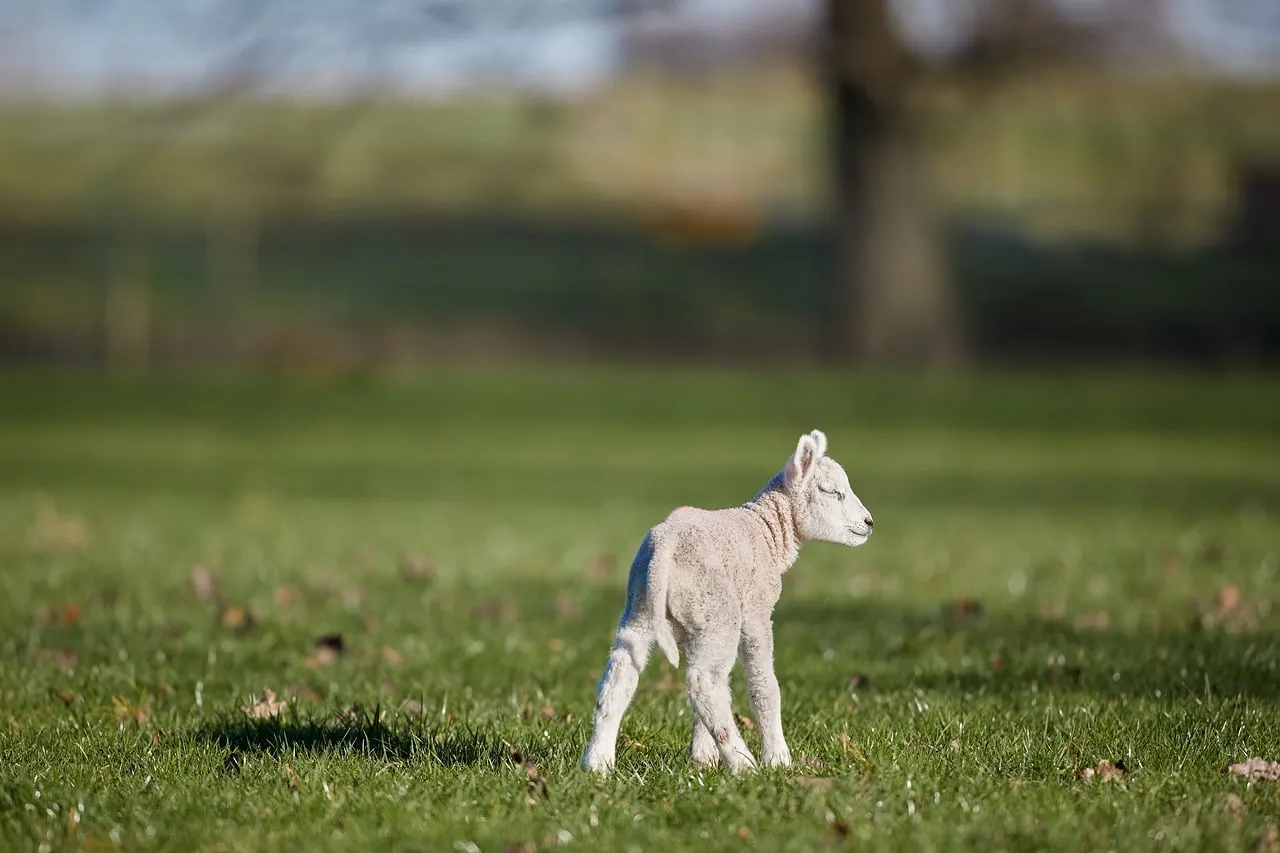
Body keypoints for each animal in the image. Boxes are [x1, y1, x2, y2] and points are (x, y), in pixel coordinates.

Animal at [580, 428, 874, 776]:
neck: (769, 532)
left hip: (643, 608)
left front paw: (702, 758)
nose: (869, 523)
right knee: (703, 682)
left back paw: (598, 763)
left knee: (621, 675)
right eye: (832, 492)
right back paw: (743, 764)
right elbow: (763, 686)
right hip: (718, 611)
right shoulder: (758, 610)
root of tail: (667, 546)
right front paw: (777, 759)